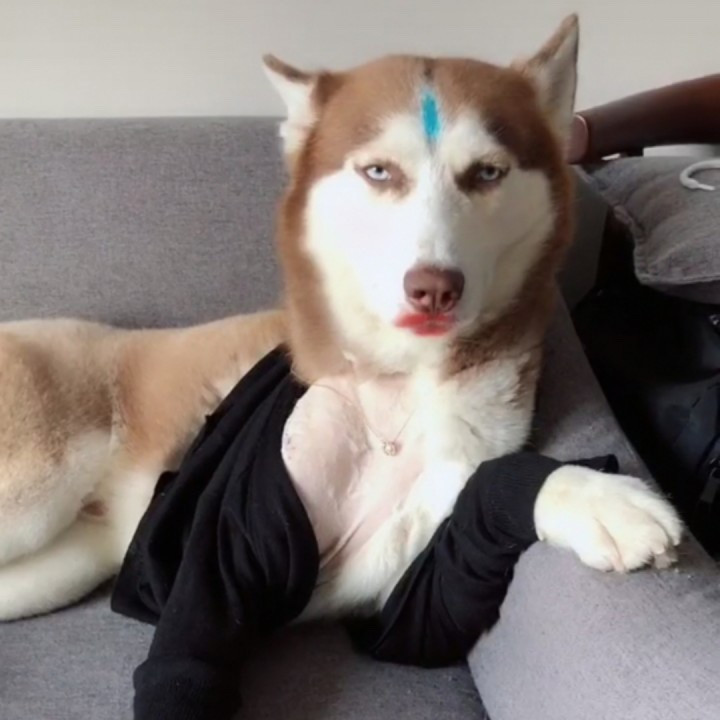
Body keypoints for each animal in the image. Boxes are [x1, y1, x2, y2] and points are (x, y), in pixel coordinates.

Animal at [0, 15, 681, 622]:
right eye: (379, 171)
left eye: (487, 173)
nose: (434, 289)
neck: (397, 388)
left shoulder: (408, 567)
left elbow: (486, 486)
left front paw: (592, 498)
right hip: (31, 499)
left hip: (59, 567)